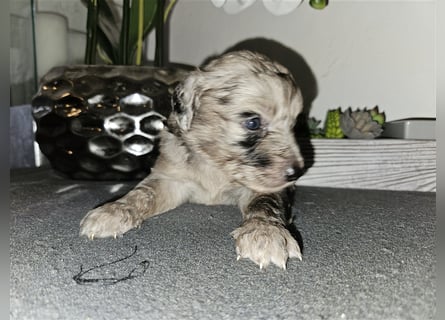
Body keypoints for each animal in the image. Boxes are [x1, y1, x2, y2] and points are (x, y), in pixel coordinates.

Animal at [80, 50, 306, 270]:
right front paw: (114, 211)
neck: (215, 164)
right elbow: (143, 193)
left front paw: (265, 233)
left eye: (293, 125)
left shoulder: (264, 186)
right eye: (253, 123)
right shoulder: (171, 178)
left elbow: (265, 203)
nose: (296, 172)